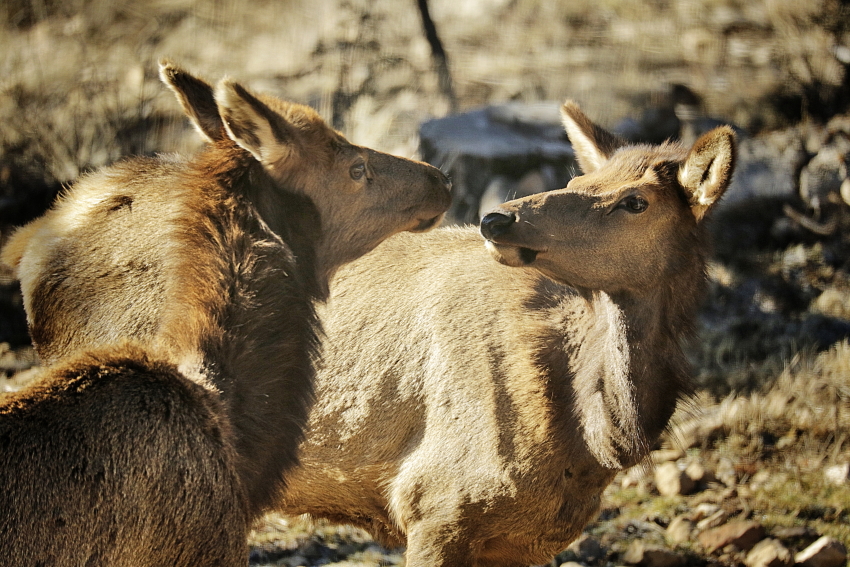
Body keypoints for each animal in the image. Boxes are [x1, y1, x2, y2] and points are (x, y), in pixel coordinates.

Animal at [276, 100, 736, 566]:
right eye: (576, 180)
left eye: (635, 201)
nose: (497, 218)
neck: (592, 446)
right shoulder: (433, 503)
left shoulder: (523, 542)